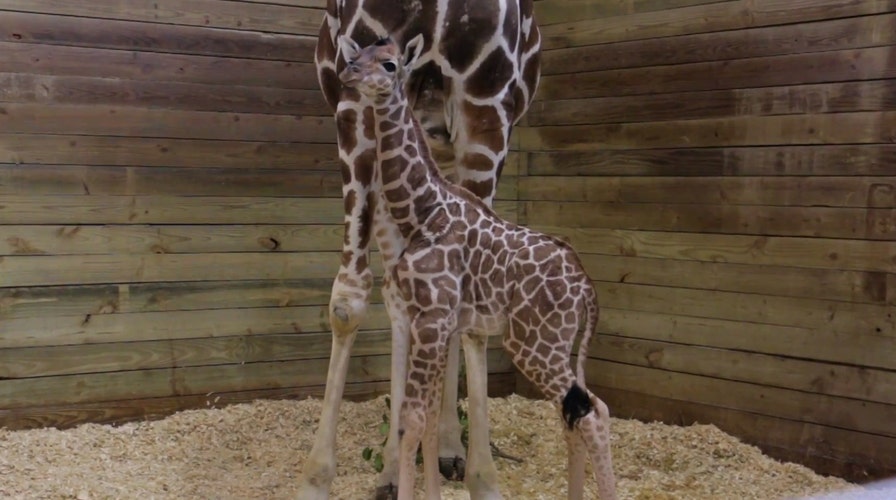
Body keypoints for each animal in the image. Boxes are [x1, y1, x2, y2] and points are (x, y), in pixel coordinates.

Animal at [298, 1, 541, 498]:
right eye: (359, 60)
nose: (355, 69)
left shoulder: (487, 100)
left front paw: (482, 476)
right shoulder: (354, 104)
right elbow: (349, 301)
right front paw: (316, 477)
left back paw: (447, 447)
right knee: (398, 292)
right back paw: (396, 462)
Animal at [337, 36, 617, 500]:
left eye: (390, 64)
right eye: (354, 55)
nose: (350, 74)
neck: (422, 211)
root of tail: (588, 290)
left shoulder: (432, 319)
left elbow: (412, 420)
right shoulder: (433, 321)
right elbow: (427, 421)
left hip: (535, 343)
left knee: (589, 414)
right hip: (559, 344)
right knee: (583, 410)